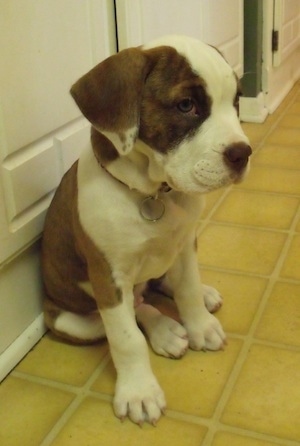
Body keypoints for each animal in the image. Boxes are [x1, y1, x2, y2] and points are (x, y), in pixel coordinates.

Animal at [41, 34, 251, 426]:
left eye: (236, 102)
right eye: (186, 105)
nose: (243, 153)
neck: (152, 193)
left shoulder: (185, 245)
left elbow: (187, 290)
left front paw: (200, 324)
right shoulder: (109, 276)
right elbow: (126, 339)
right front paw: (139, 392)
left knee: (158, 288)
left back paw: (201, 298)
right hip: (70, 320)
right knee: (135, 310)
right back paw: (165, 331)